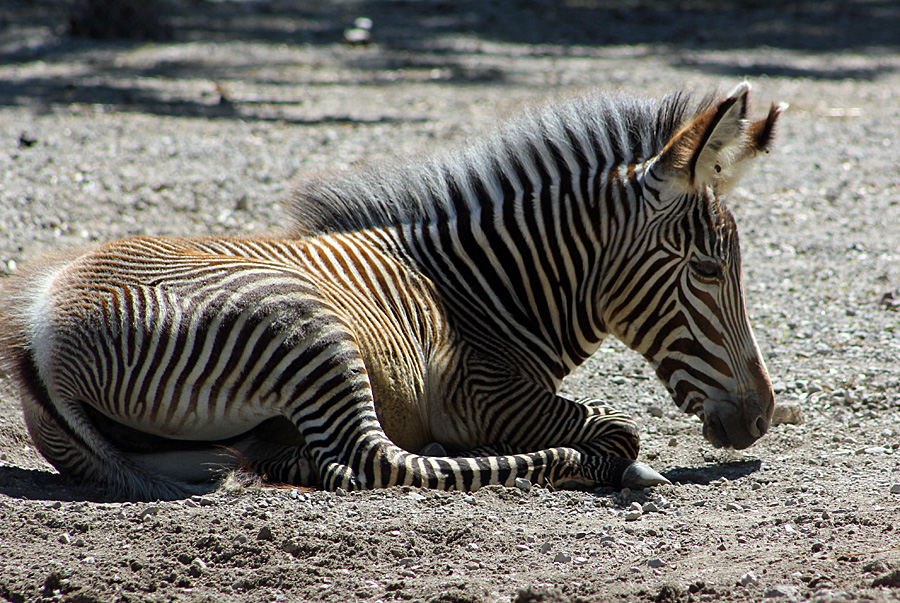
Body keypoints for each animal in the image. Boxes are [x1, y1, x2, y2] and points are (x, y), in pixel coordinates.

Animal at [0, 83, 782, 501]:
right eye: (708, 272)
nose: (760, 418)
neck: (479, 289)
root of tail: (41, 325)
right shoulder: (483, 393)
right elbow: (619, 428)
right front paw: (616, 457)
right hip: (306, 330)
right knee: (373, 460)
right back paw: (551, 465)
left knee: (318, 458)